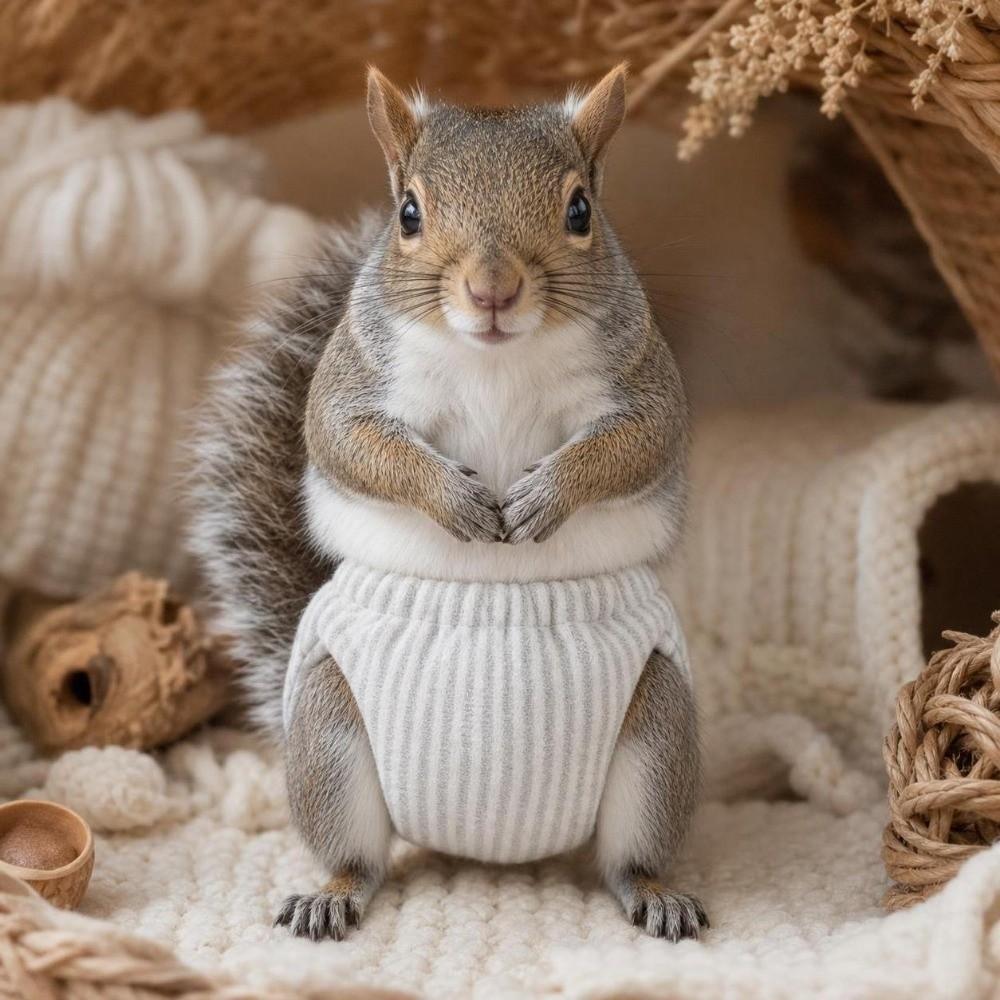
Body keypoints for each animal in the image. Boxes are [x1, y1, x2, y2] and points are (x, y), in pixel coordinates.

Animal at [190, 65, 705, 944]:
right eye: (408, 213)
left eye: (581, 211)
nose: (492, 290)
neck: (494, 358)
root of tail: (484, 841)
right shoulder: (354, 382)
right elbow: (350, 442)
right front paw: (456, 501)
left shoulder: (642, 381)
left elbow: (635, 444)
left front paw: (544, 496)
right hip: (329, 729)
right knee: (358, 855)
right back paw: (332, 892)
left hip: (658, 727)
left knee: (627, 857)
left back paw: (655, 892)